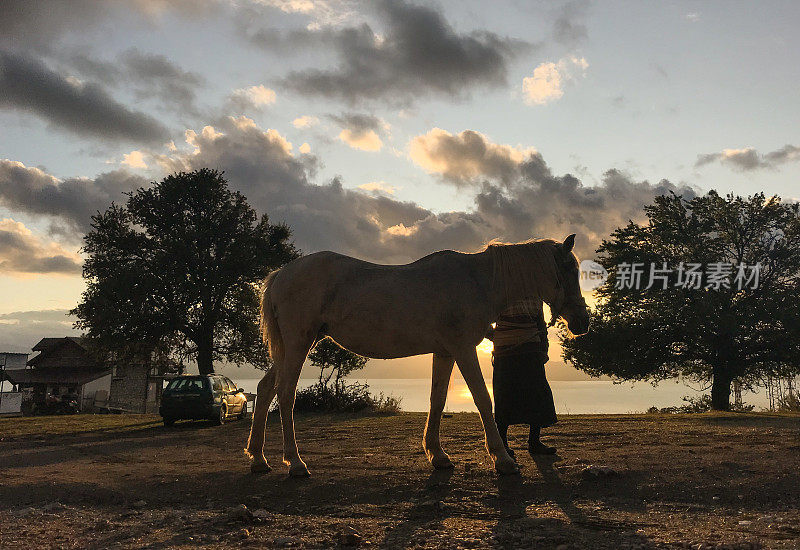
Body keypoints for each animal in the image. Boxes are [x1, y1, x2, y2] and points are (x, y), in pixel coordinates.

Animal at [242, 235, 588, 476]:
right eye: (569, 270)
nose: (582, 323)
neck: (477, 281)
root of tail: (281, 274)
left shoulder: (445, 351)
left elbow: (438, 399)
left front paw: (438, 455)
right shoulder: (463, 348)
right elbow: (481, 398)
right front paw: (503, 460)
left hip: (294, 346)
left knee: (266, 389)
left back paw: (259, 459)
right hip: (298, 344)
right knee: (286, 394)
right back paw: (295, 463)